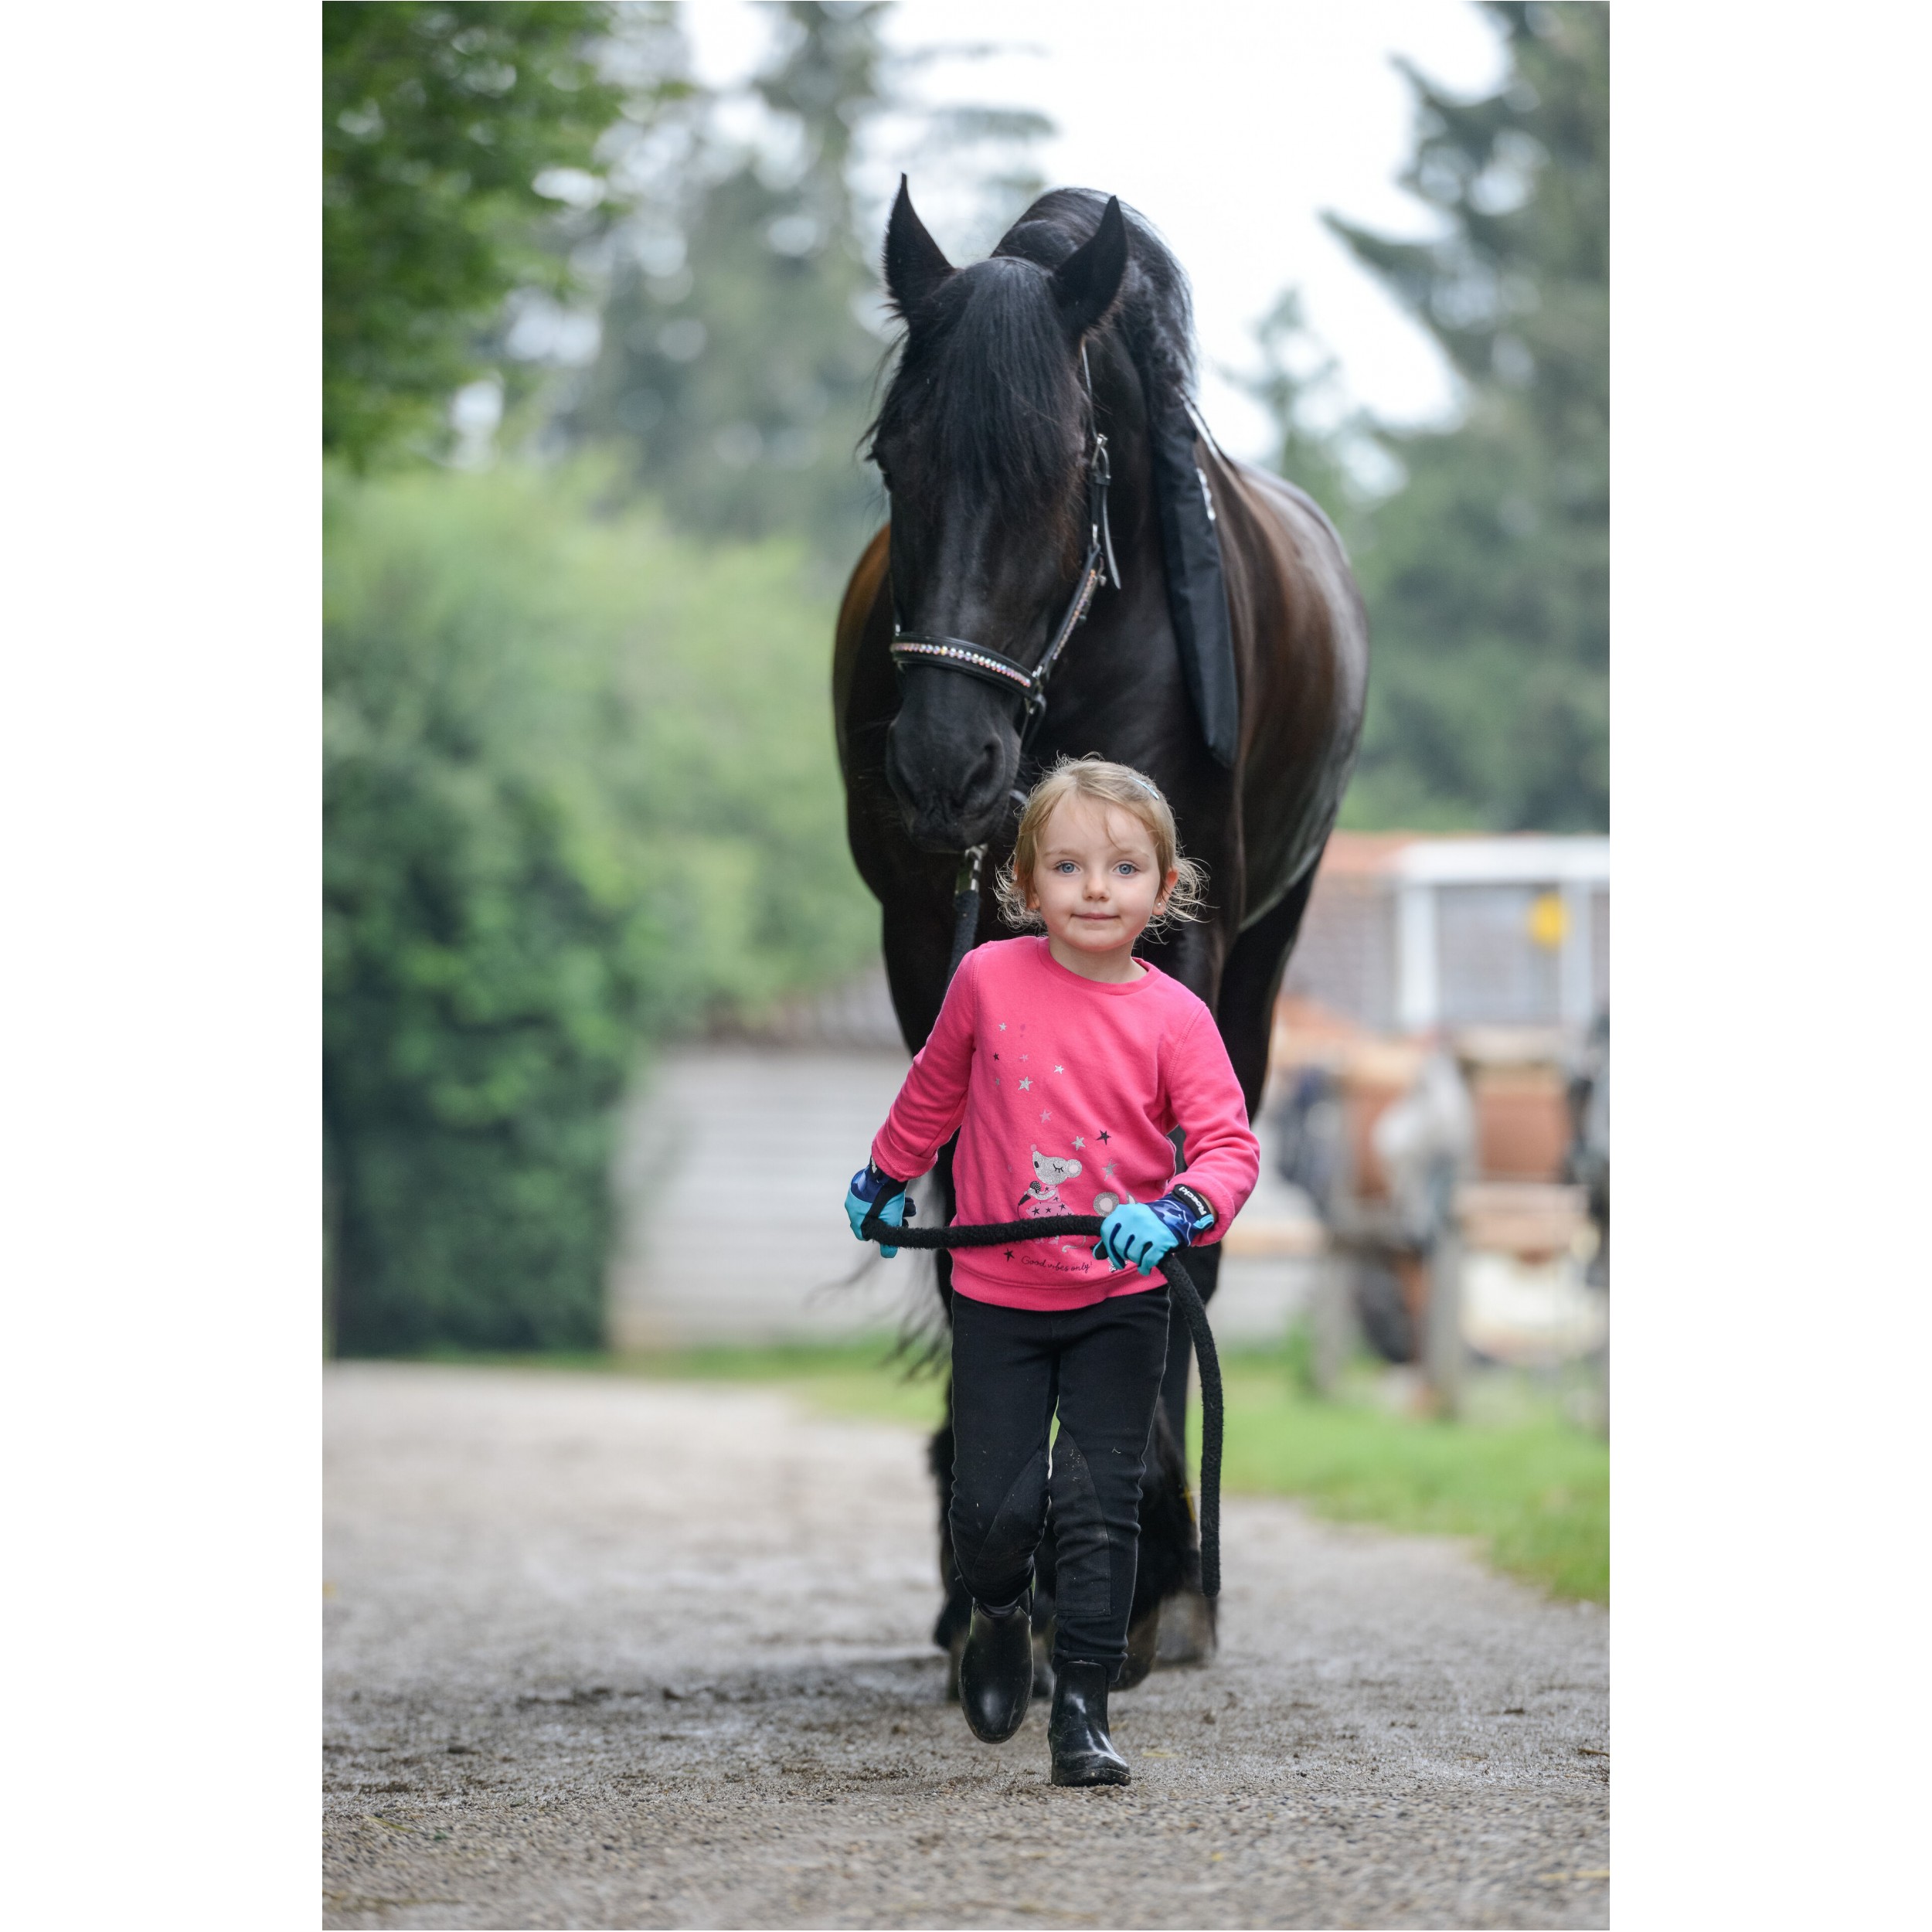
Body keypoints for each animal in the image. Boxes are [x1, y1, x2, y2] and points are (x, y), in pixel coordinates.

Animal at [838, 184, 1368, 1677]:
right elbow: (958, 1210)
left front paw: (1149, 1569)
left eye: (1062, 469)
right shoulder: (927, 942)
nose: (943, 766)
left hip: (1265, 960)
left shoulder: (1184, 947)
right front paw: (986, 1570)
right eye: (894, 457)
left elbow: (1169, 1224)